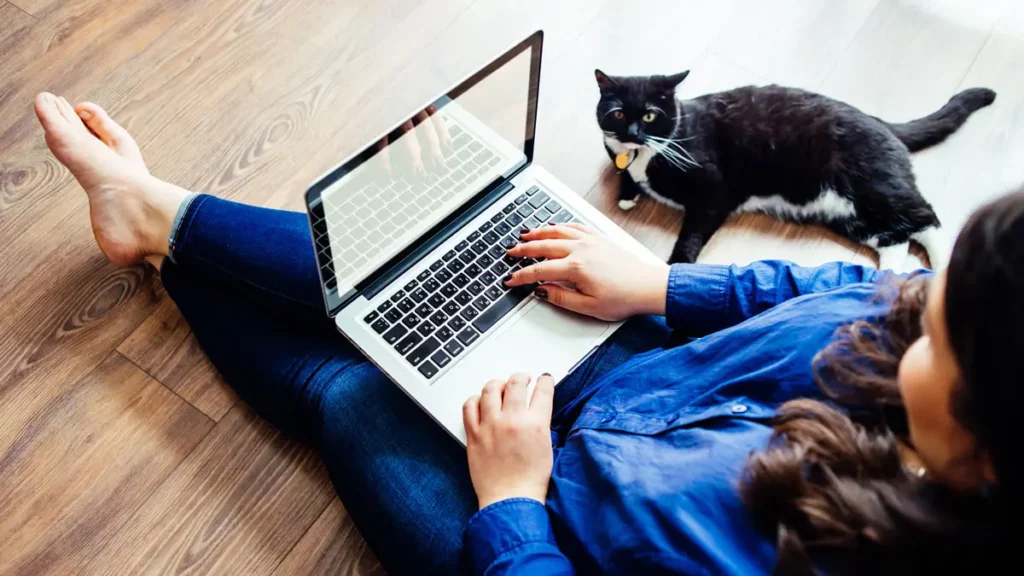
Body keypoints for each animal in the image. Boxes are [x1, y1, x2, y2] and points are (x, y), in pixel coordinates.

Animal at [598, 70, 995, 268]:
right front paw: (628, 194)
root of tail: (879, 121)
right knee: (895, 239)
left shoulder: (715, 190)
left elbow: (693, 232)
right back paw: (884, 279)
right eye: (617, 113)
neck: (644, 154)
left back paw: (942, 269)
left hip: (876, 187)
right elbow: (624, 174)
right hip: (851, 215)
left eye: (650, 115)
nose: (633, 132)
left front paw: (676, 265)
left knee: (926, 220)